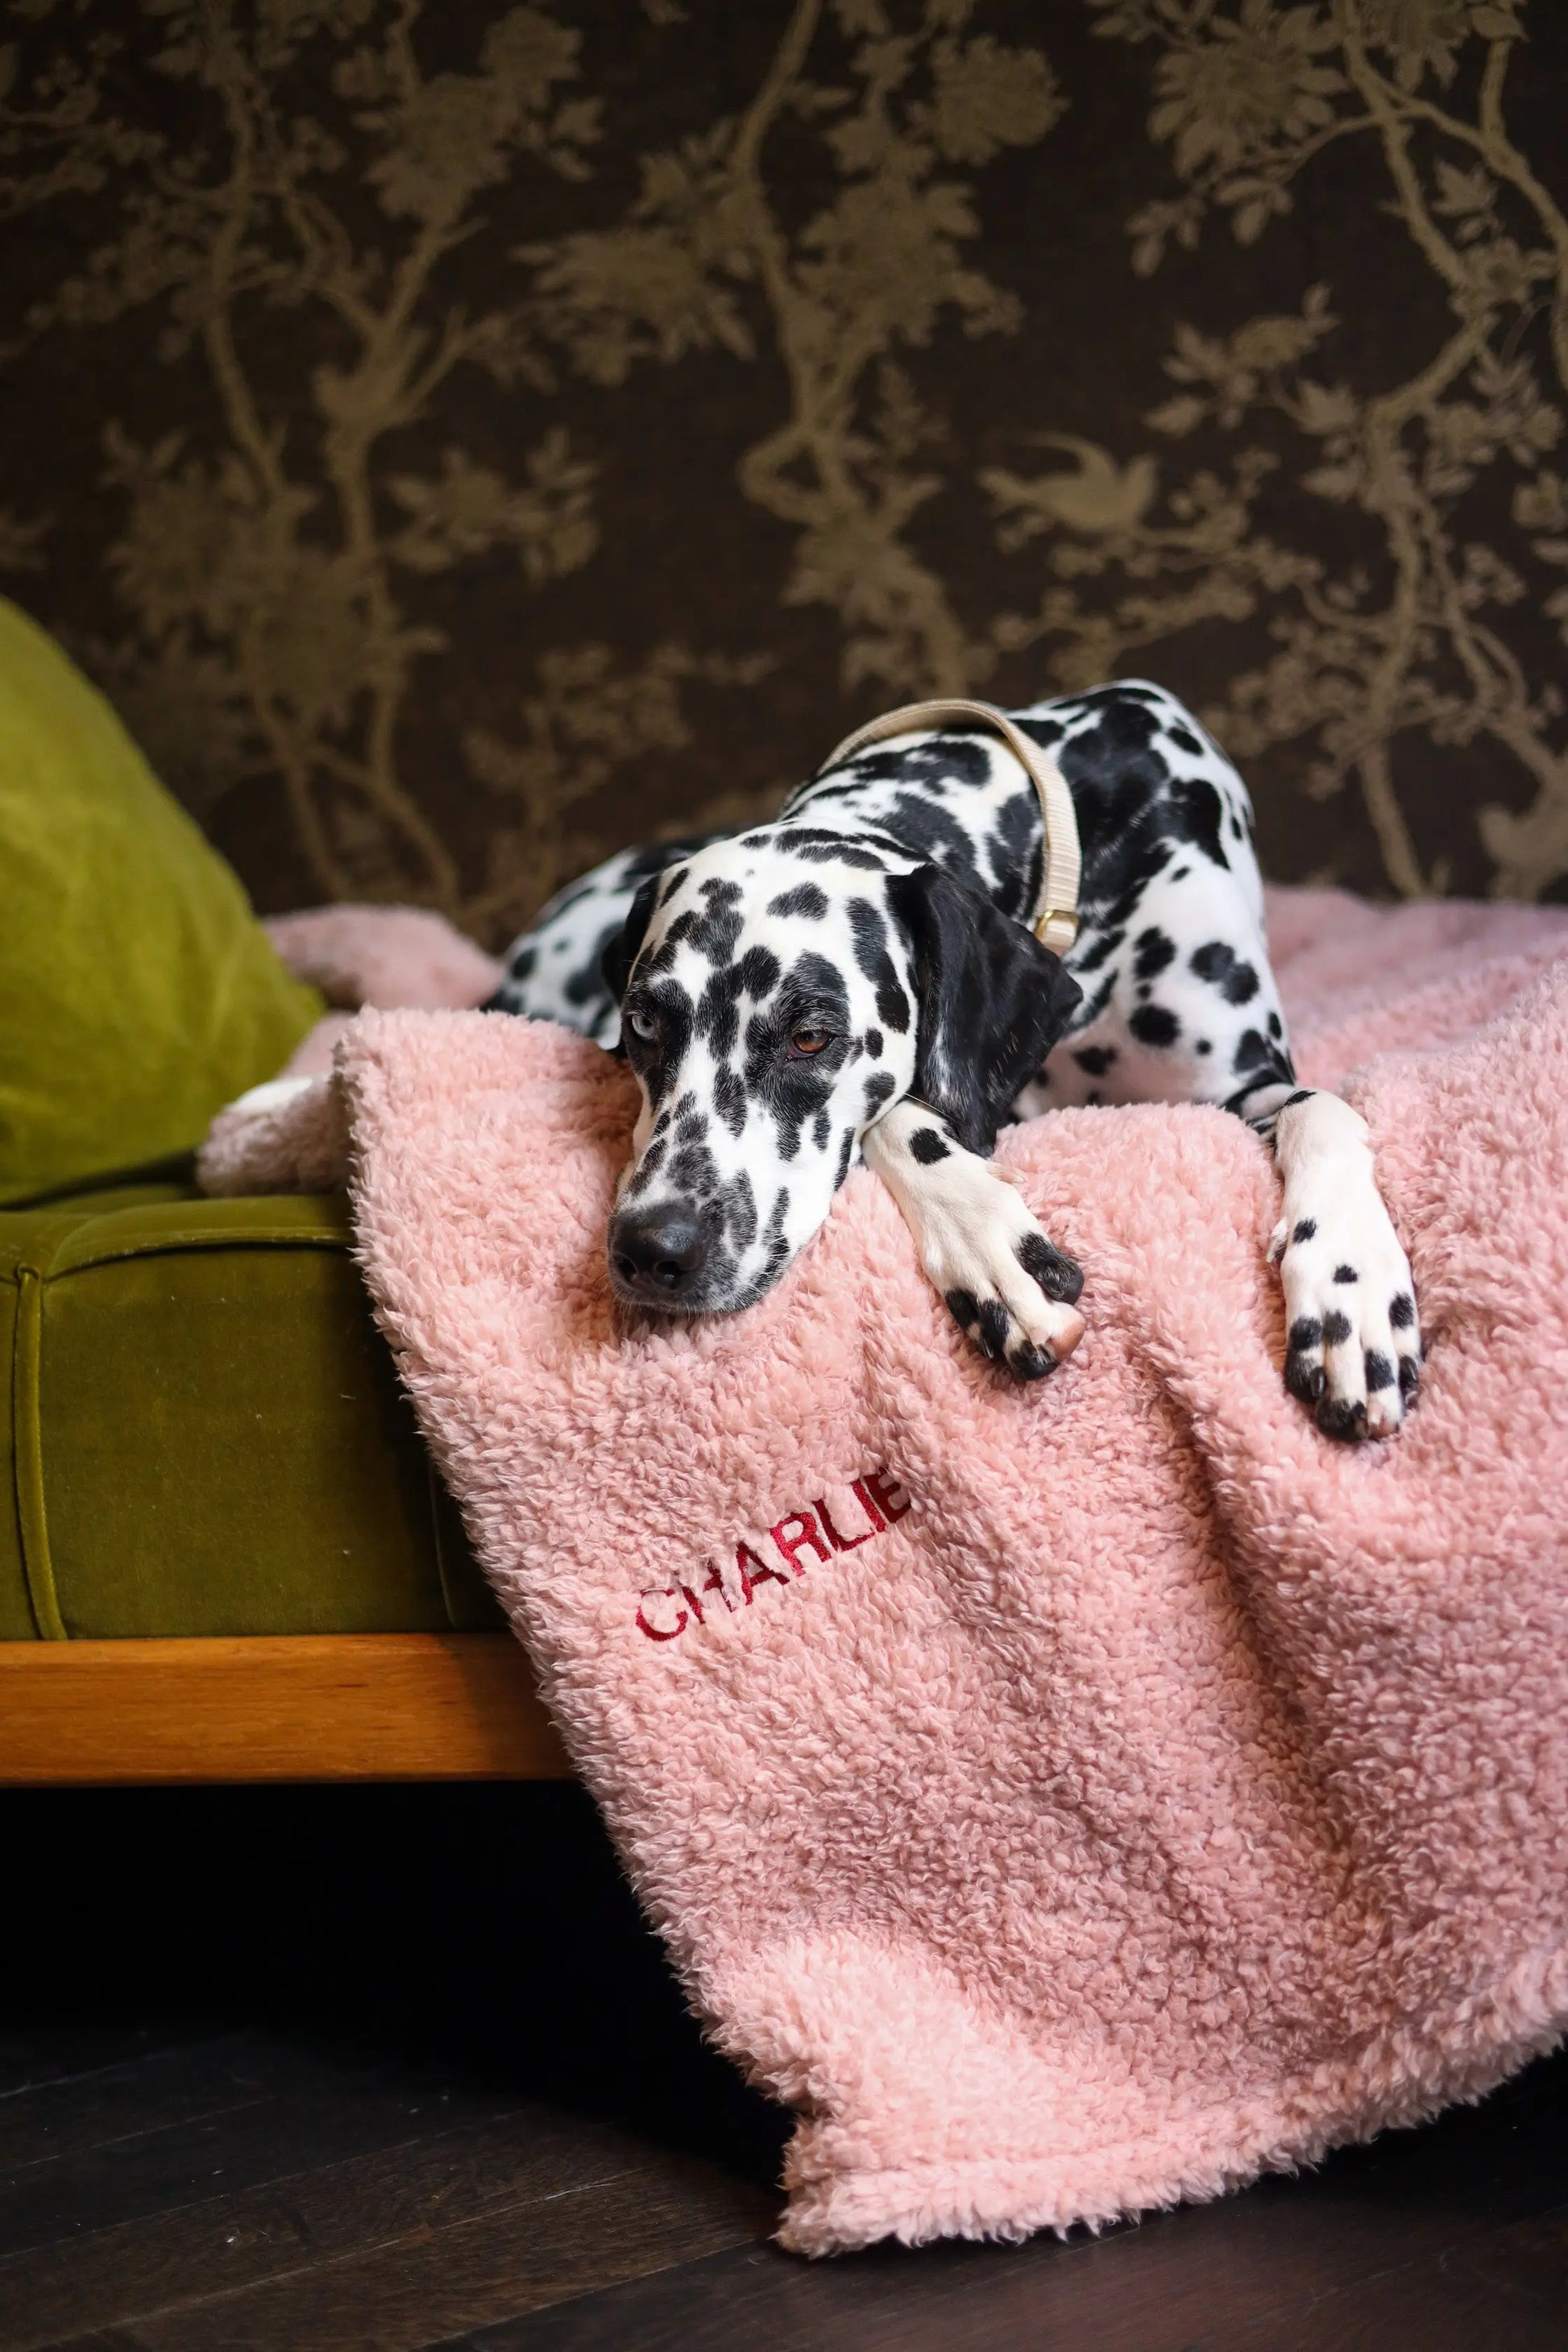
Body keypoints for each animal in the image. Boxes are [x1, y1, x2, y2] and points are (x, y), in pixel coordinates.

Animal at [491, 682, 1420, 1439]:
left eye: (809, 1036)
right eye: (646, 1021)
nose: (654, 1249)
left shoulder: (1240, 1084)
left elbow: (1324, 1107)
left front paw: (1351, 1290)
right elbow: (907, 1113)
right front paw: (990, 1249)